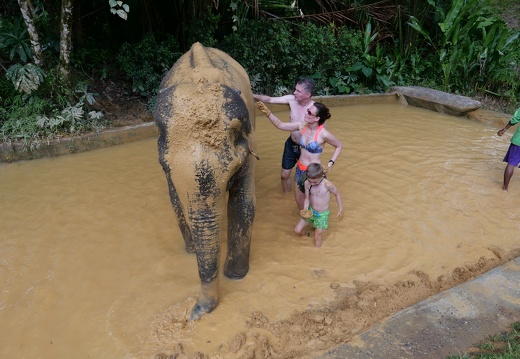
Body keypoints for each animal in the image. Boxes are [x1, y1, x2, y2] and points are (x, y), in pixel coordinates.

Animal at [153, 43, 258, 322]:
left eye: (231, 172)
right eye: (164, 165)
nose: (191, 315)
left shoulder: (248, 144)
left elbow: (244, 205)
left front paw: (235, 277)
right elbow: (176, 203)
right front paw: (191, 251)